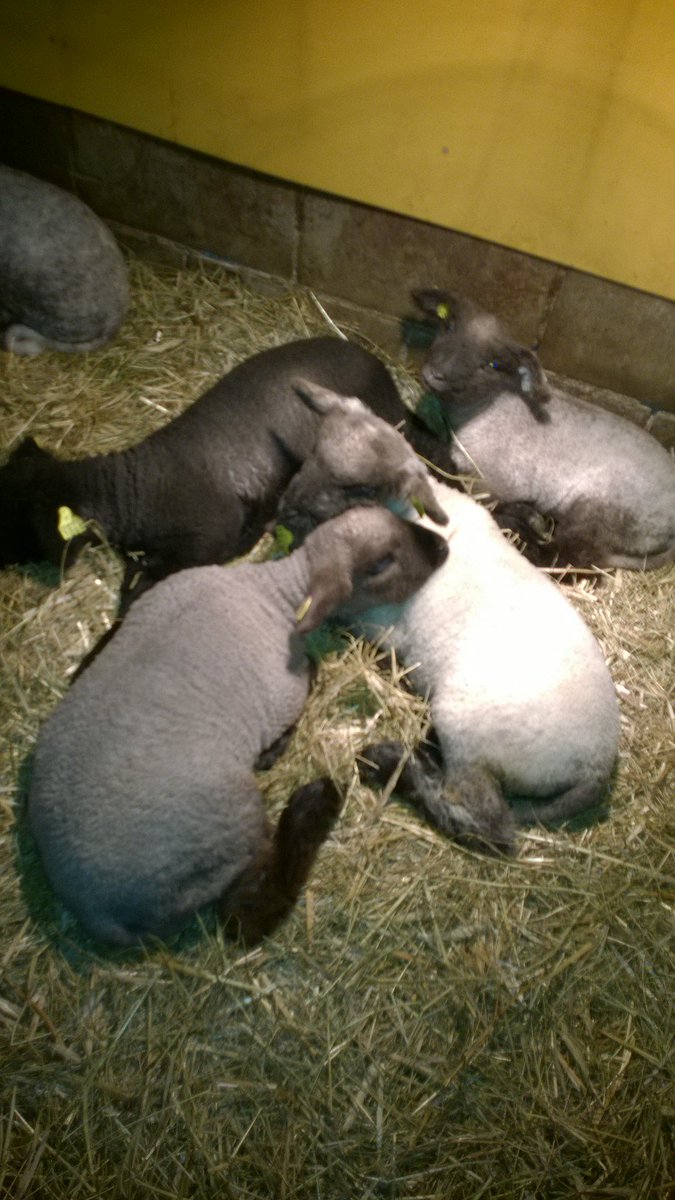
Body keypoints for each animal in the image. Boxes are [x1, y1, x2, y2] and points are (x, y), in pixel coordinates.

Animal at [27, 505, 448, 946]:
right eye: (382, 562)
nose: (443, 547)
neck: (276, 590)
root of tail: (99, 912)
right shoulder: (286, 692)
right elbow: (311, 673)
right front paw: (274, 750)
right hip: (230, 827)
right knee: (248, 910)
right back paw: (313, 803)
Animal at [409, 289, 675, 571]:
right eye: (449, 327)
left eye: (492, 365)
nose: (435, 374)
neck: (486, 406)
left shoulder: (489, 483)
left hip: (599, 517)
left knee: (569, 560)